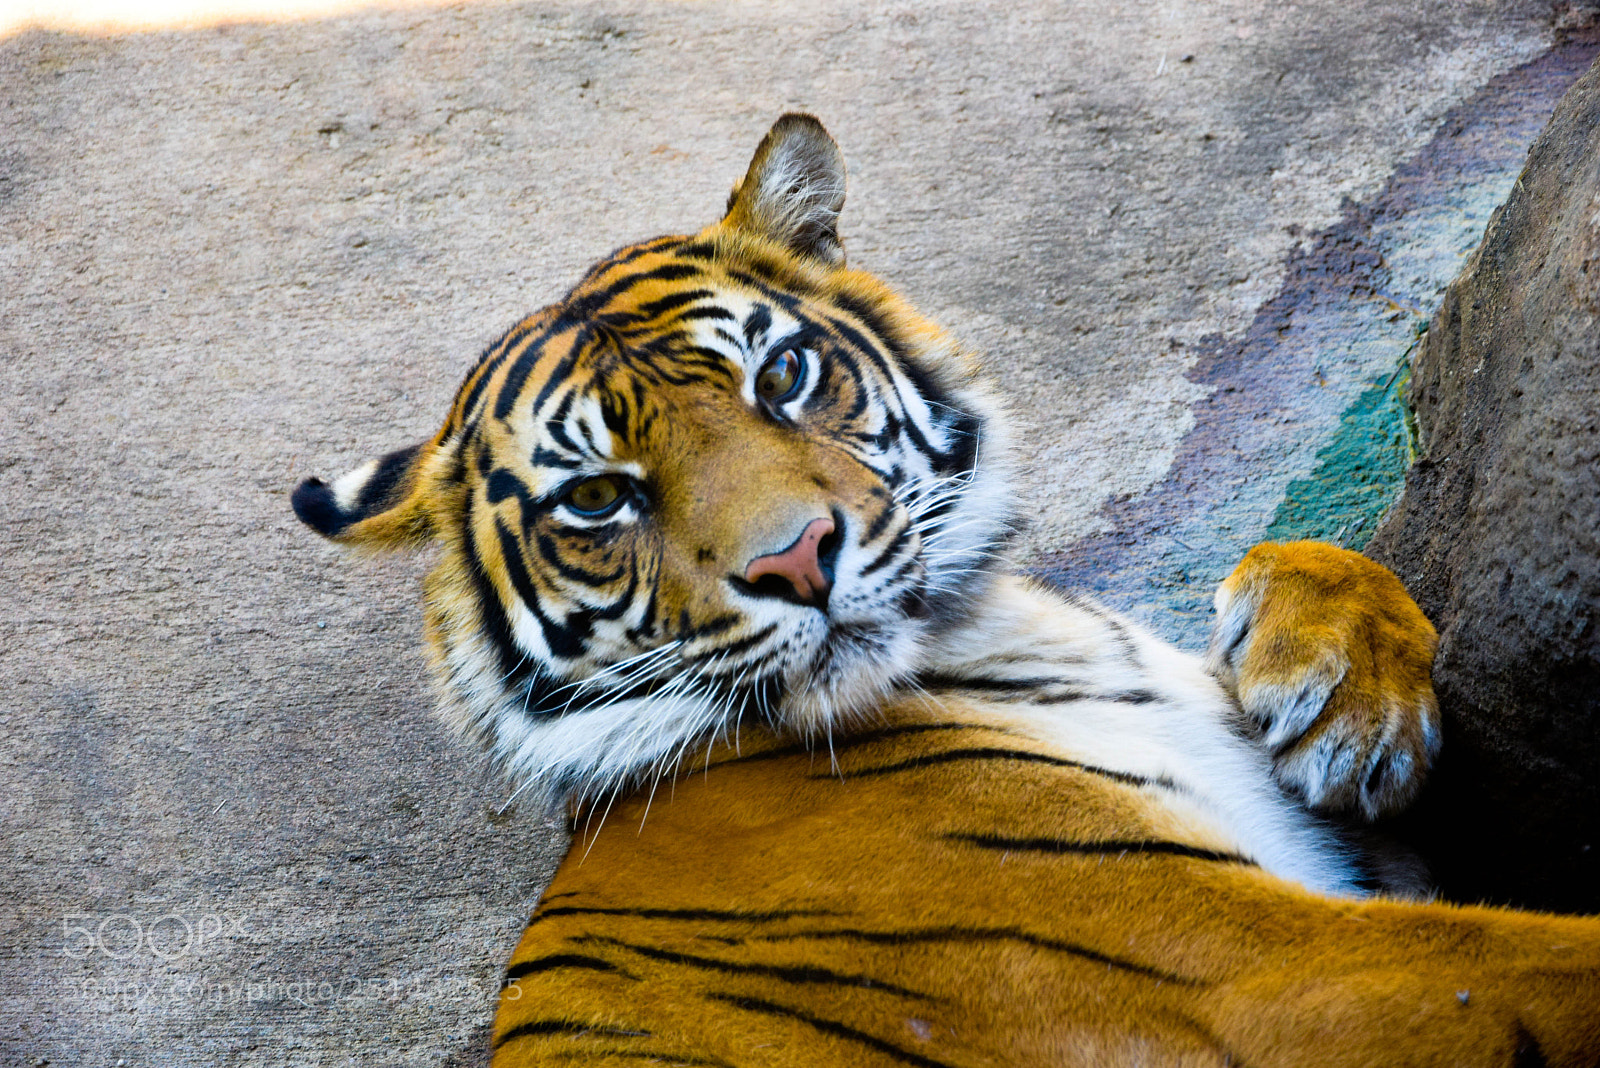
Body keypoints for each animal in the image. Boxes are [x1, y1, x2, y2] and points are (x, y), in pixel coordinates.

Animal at [292, 114, 1600, 1066]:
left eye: (783, 375)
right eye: (601, 498)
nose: (796, 559)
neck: (992, 632)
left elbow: (1318, 554)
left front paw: (1346, 704)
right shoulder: (1258, 968)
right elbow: (1539, 959)